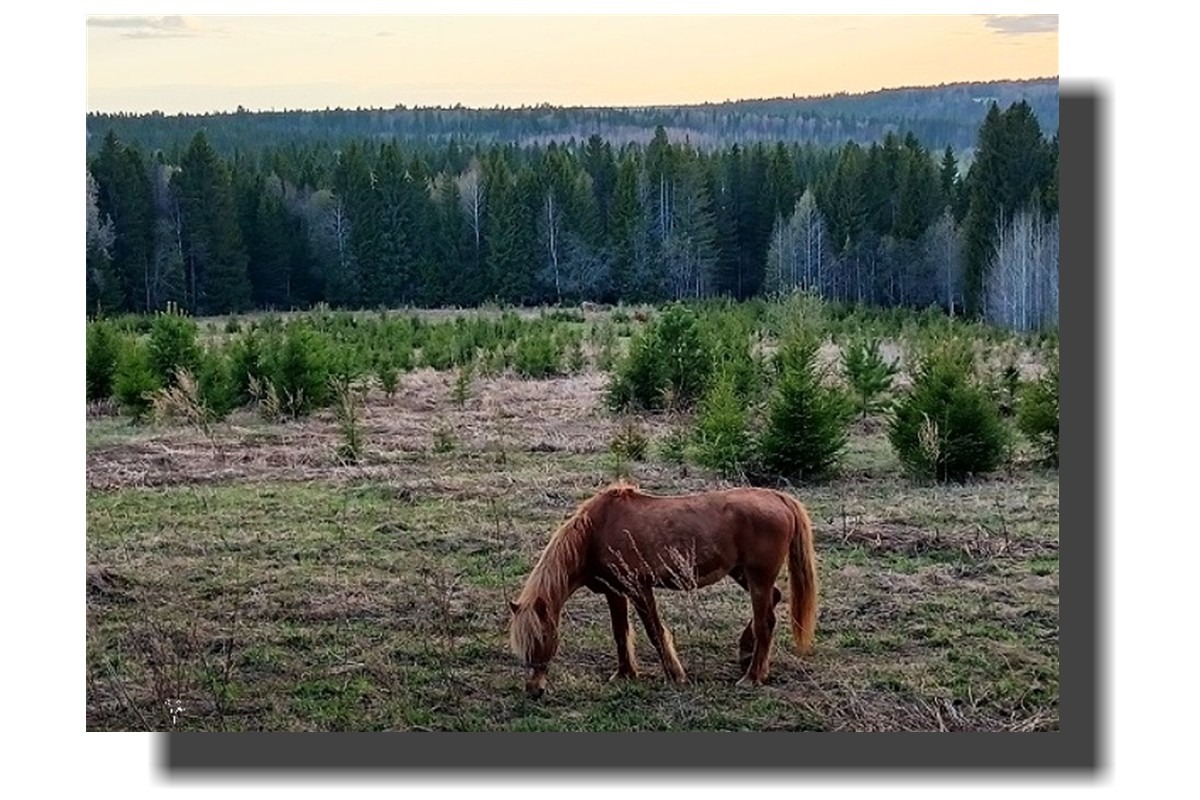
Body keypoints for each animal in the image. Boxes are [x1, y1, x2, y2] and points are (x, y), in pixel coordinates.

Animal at [506, 482, 816, 700]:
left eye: (542, 637)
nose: (534, 689)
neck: (597, 530)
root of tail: (780, 498)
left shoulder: (639, 589)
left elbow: (655, 631)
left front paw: (675, 675)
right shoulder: (615, 591)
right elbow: (620, 633)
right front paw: (625, 674)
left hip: (757, 577)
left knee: (766, 622)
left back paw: (752, 677)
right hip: (742, 573)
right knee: (773, 601)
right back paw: (746, 654)